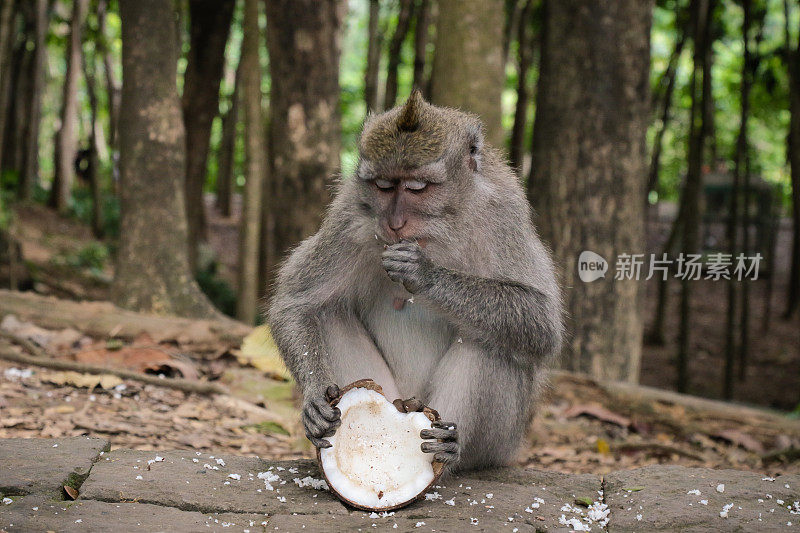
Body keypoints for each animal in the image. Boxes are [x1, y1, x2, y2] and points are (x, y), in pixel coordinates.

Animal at [268, 89, 564, 472]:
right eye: (383, 186)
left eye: (417, 188)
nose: (394, 223)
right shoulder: (350, 214)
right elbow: (295, 303)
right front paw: (316, 398)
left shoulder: (504, 212)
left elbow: (541, 320)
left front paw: (424, 274)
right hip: (389, 390)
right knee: (327, 312)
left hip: (500, 443)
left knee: (492, 340)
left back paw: (449, 449)